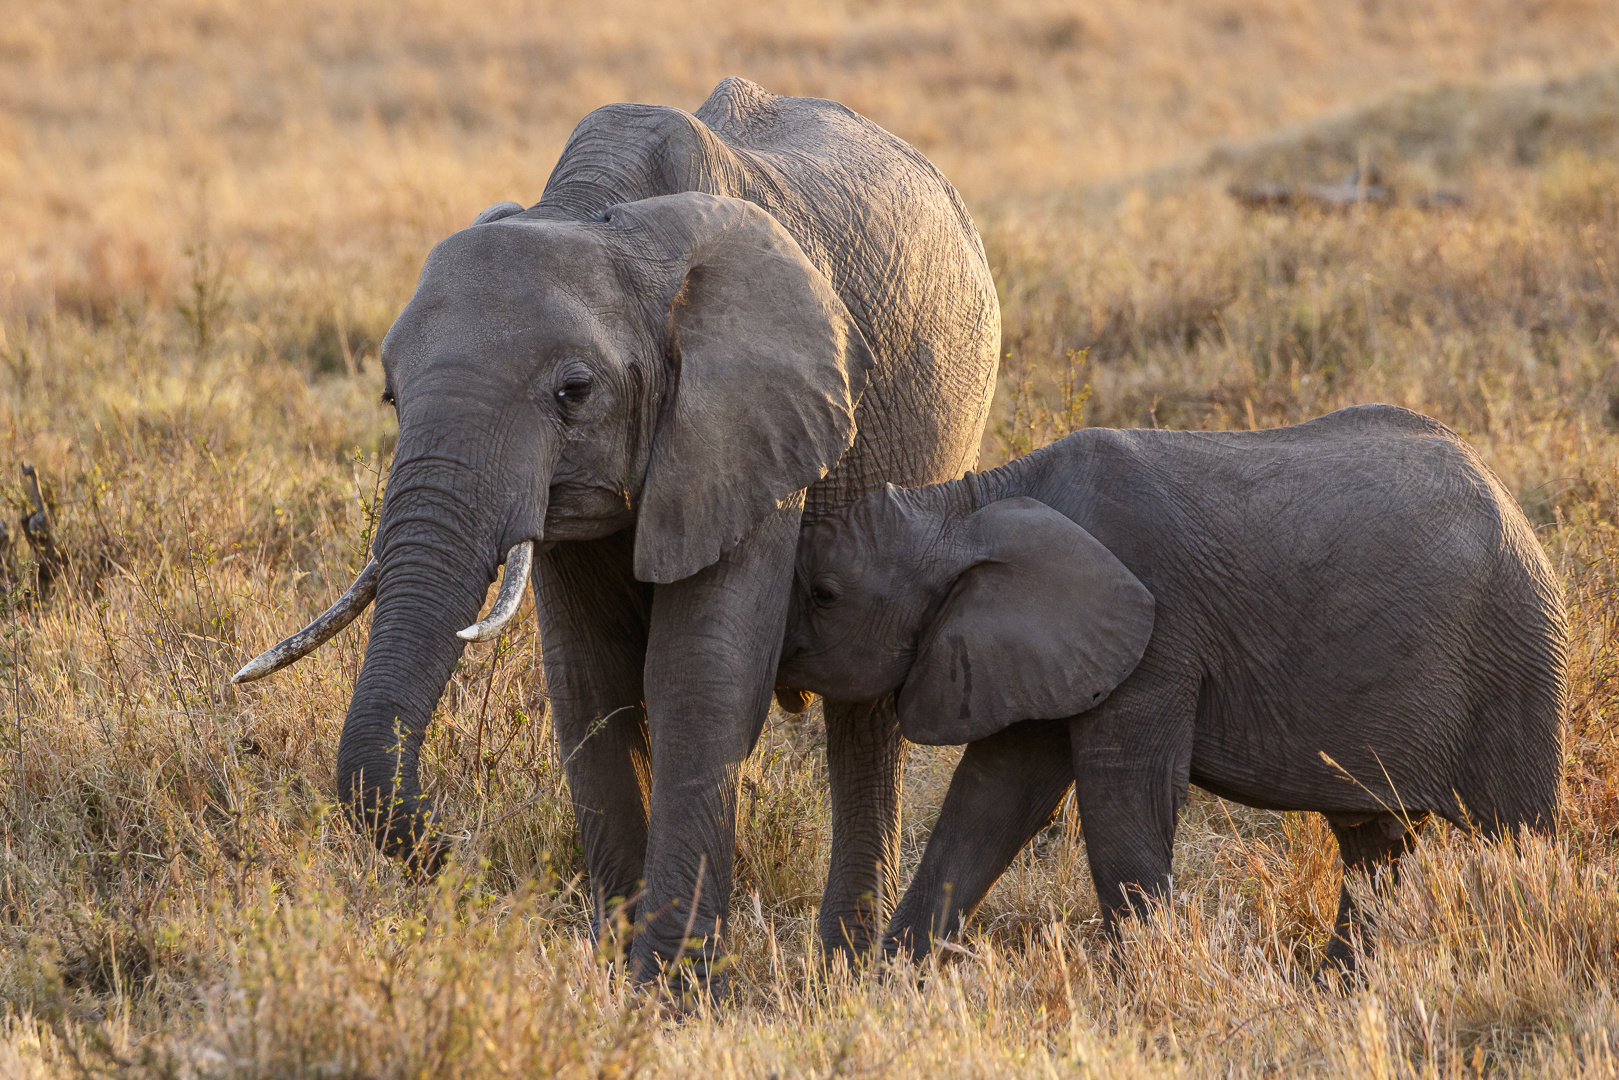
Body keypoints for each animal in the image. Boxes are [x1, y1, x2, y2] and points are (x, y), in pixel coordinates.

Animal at [236, 78, 1003, 990]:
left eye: (573, 392)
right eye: (390, 396)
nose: (462, 863)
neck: (598, 217)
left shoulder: (749, 419)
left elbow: (698, 678)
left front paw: (672, 991)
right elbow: (588, 682)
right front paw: (618, 977)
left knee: (866, 714)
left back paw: (849, 972)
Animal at [773, 403, 1567, 971]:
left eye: (824, 595)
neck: (964, 504)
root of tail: (1510, 501)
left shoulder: (1157, 637)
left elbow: (1121, 800)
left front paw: (1139, 994)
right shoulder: (1042, 643)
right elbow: (992, 799)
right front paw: (881, 992)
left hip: (1517, 660)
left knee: (1515, 840)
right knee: (1377, 847)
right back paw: (1337, 989)